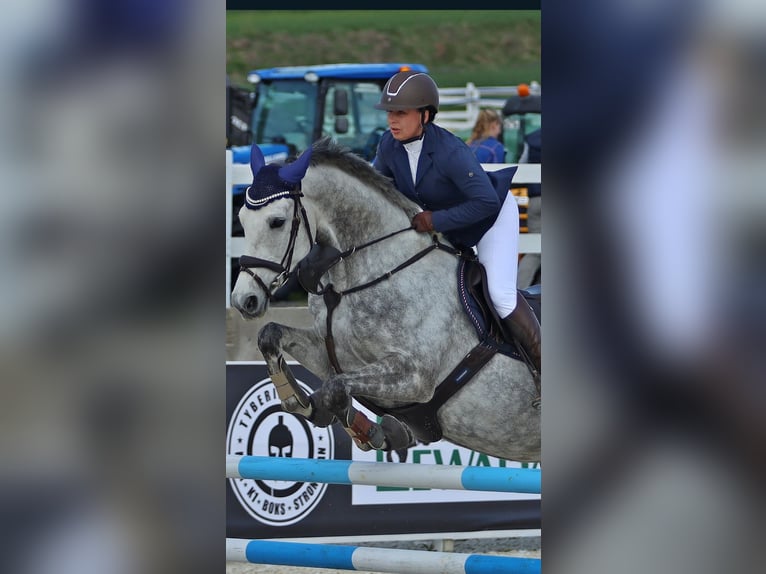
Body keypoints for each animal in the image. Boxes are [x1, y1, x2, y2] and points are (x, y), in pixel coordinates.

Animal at [232, 138, 540, 464]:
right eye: (241, 221)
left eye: (277, 222)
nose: (243, 300)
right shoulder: (331, 354)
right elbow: (271, 335)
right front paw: (299, 400)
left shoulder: (416, 378)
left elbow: (335, 390)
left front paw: (372, 432)